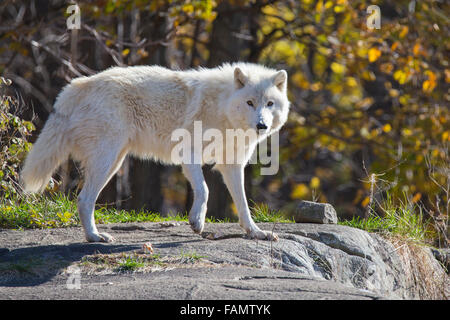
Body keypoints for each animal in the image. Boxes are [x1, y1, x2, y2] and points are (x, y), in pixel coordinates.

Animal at [21, 62, 290, 242]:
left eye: (269, 104)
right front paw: (197, 221)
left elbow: (243, 204)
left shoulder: (232, 165)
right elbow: (204, 189)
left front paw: (256, 232)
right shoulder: (189, 154)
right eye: (249, 103)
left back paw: (93, 236)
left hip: (114, 162)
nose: (261, 125)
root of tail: (77, 85)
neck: (222, 108)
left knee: (83, 199)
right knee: (84, 199)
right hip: (107, 160)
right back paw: (95, 237)